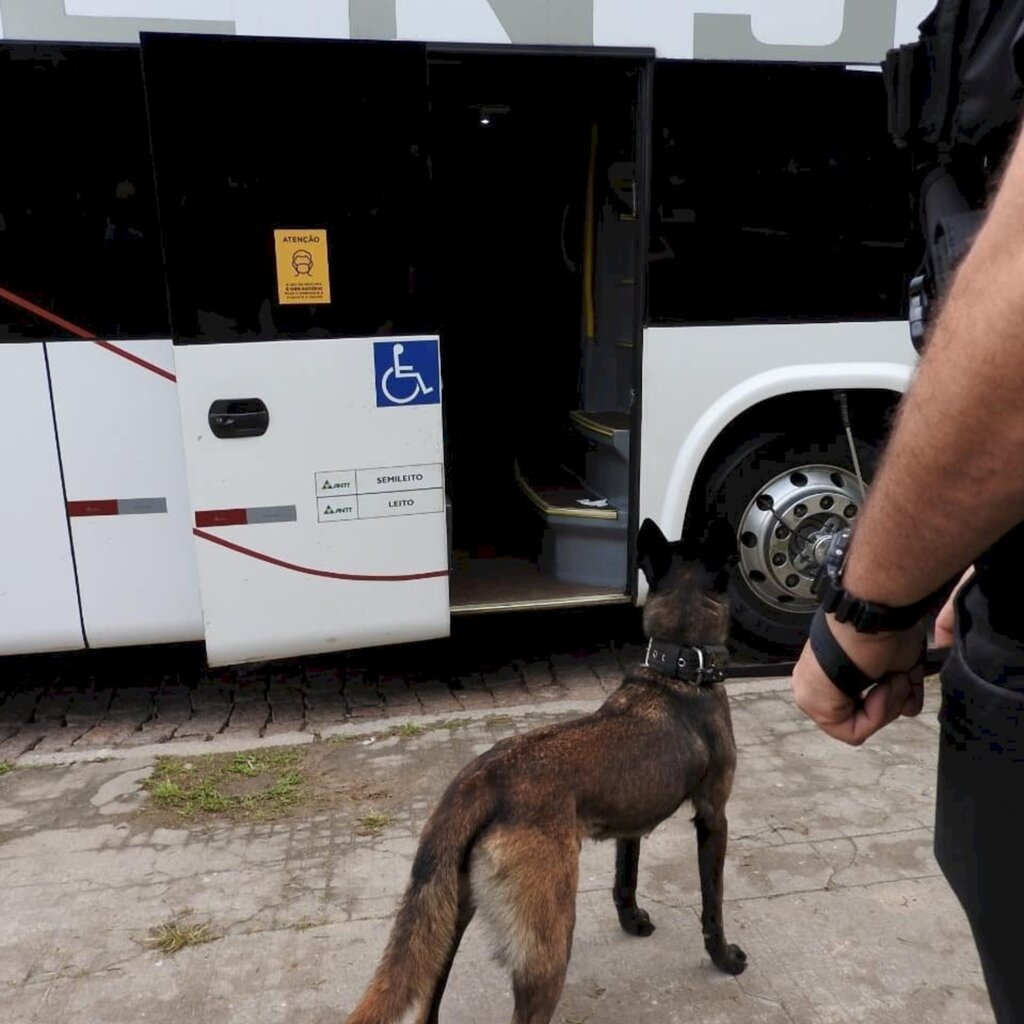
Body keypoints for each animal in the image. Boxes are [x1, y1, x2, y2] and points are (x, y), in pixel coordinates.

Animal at [344, 520, 745, 1024]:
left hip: (449, 918)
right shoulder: (714, 815)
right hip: (549, 945)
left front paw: (633, 921)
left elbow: (625, 880)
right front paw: (725, 957)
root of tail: (481, 781)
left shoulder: (629, 827)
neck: (676, 669)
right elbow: (714, 904)